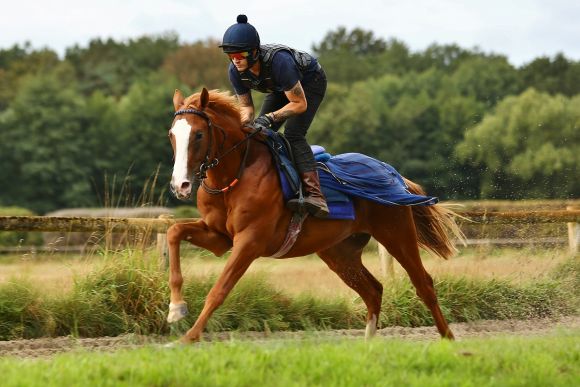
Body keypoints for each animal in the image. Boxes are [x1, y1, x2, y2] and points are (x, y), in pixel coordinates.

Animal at [164, 88, 462, 346]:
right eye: (171, 135)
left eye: (198, 134)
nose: (180, 185)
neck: (235, 175)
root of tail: (395, 175)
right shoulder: (219, 237)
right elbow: (174, 232)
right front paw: (176, 308)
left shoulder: (250, 242)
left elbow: (220, 289)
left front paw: (188, 337)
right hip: (339, 252)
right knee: (373, 290)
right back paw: (368, 344)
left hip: (396, 233)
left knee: (423, 284)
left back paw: (448, 340)